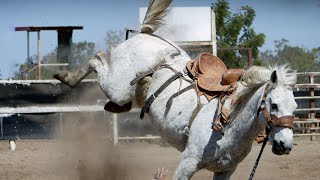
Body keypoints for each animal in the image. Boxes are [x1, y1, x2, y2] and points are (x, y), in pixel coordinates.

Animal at [53, 0, 298, 179]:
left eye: (295, 107)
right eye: (274, 104)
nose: (285, 145)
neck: (229, 125)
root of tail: (144, 34)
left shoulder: (225, 171)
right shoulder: (187, 163)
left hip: (123, 93)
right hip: (117, 87)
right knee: (97, 59)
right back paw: (66, 77)